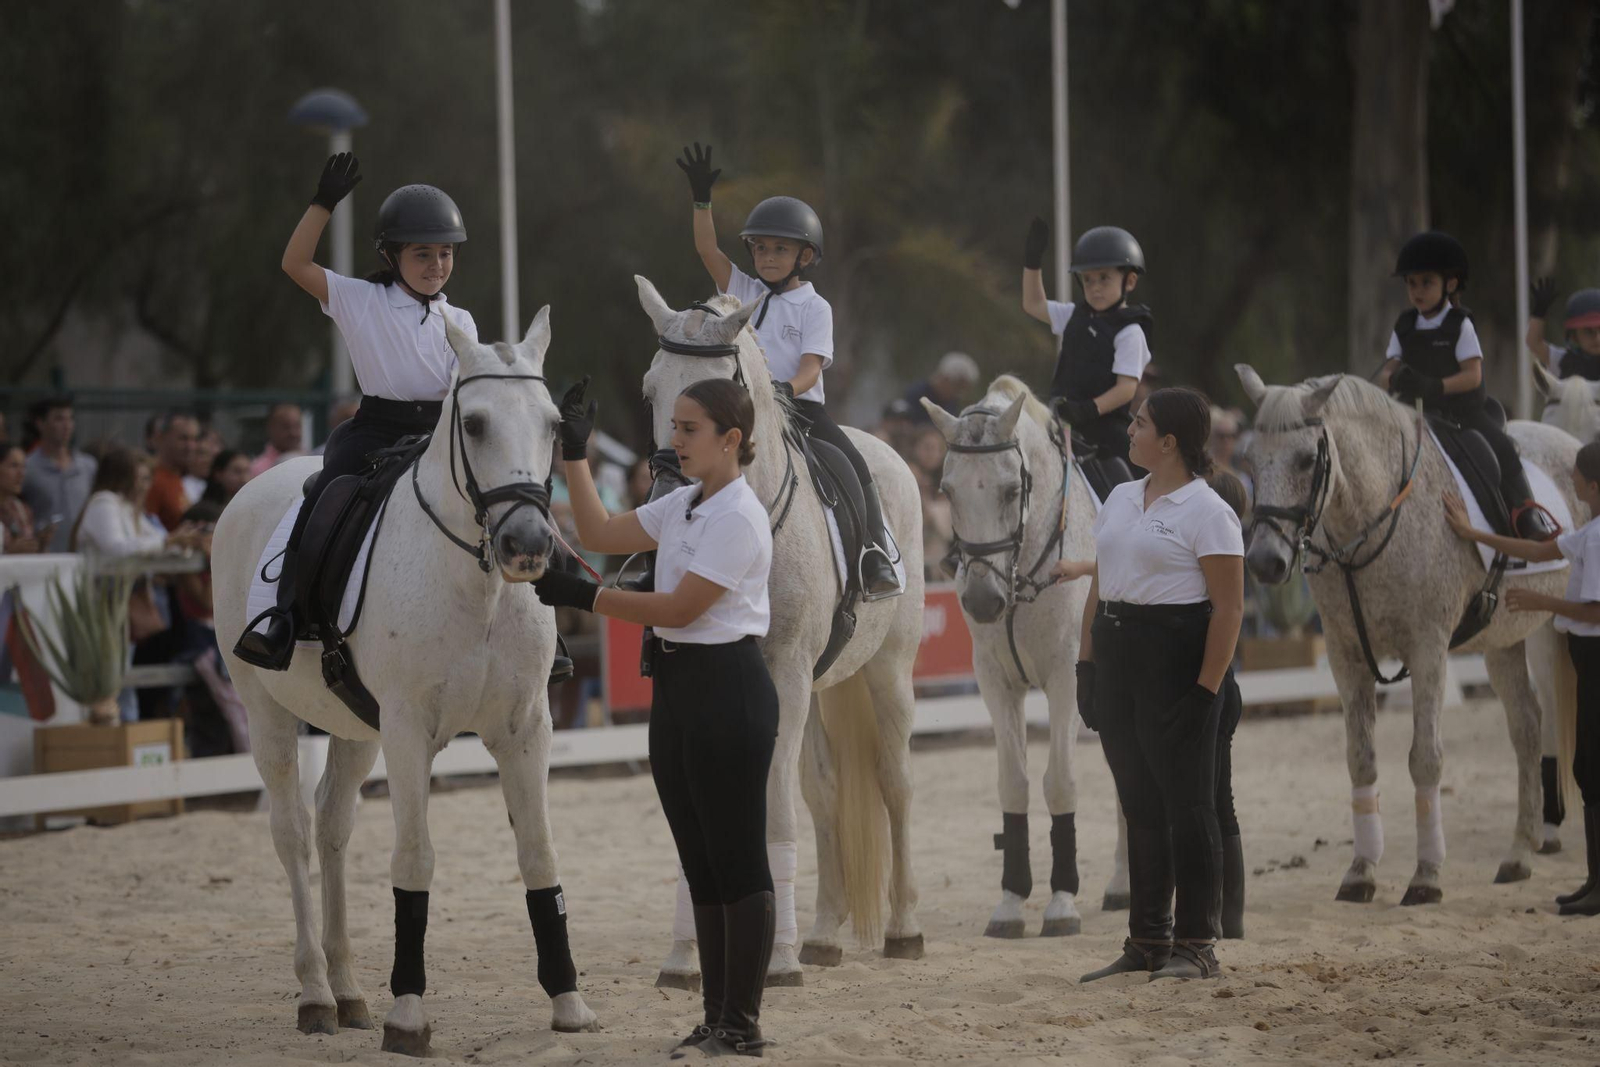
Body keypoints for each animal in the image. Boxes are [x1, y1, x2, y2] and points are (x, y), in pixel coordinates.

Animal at [211, 308, 599, 1055]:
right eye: (473, 423)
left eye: (552, 426)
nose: (530, 545)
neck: (476, 585)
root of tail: (248, 490)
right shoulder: (409, 730)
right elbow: (414, 859)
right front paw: (409, 1014)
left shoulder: (525, 728)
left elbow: (539, 856)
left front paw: (568, 1001)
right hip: (267, 711)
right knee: (293, 833)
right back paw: (315, 992)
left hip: (355, 727)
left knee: (332, 826)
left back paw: (349, 990)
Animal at [633, 276, 924, 986]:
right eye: (651, 390)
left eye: (717, 392)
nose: (671, 495)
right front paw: (685, 957)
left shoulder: (786, 675)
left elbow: (773, 809)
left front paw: (777, 957)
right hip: (822, 688)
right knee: (825, 793)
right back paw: (822, 934)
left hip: (887, 671)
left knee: (895, 782)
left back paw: (902, 929)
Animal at [920, 378, 1129, 939]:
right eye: (947, 491)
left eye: (1012, 490)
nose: (981, 602)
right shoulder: (996, 682)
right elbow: (1012, 785)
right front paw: (1011, 901)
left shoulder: (1065, 679)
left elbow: (1059, 783)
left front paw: (1061, 901)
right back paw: (1123, 884)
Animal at [1236, 365, 1581, 905]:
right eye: (1249, 460)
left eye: (1307, 459)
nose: (1264, 562)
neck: (1367, 519)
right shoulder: (1346, 657)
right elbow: (1361, 759)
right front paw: (1361, 871)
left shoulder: (1428, 650)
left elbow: (1426, 759)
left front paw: (1426, 876)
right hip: (1505, 640)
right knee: (1527, 727)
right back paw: (1519, 854)